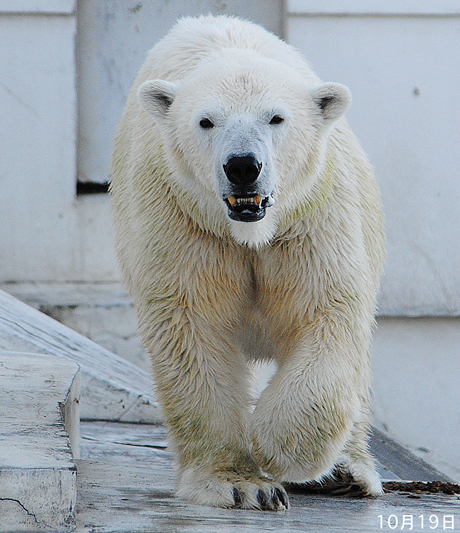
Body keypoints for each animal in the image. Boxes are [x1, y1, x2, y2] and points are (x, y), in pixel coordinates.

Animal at [110, 14, 384, 510]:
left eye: (276, 117)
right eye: (205, 121)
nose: (243, 166)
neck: (247, 231)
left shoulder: (308, 222)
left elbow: (326, 313)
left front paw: (281, 447)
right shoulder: (185, 221)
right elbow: (193, 328)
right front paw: (239, 483)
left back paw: (348, 472)